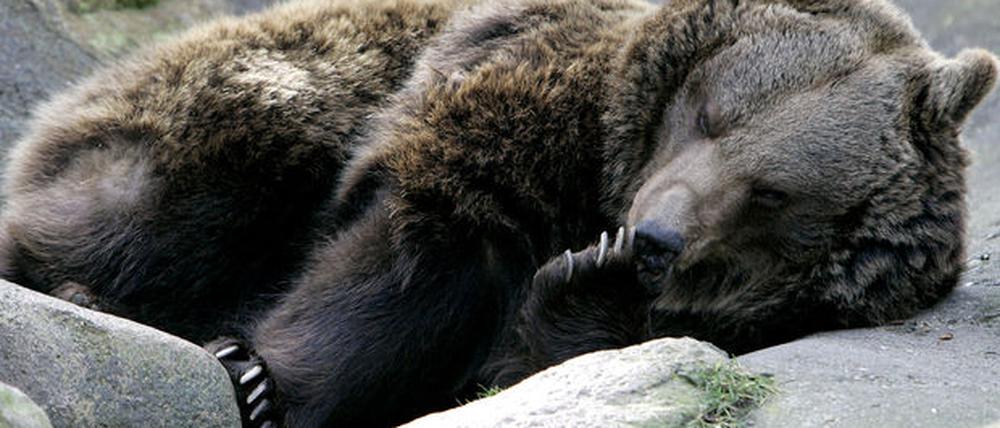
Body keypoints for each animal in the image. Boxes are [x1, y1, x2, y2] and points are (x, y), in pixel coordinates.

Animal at [1, 0, 997, 426]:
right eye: (713, 112)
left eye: (774, 194)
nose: (656, 238)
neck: (600, 171)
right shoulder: (507, 114)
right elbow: (408, 258)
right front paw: (255, 377)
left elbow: (521, 366)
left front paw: (590, 283)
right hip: (255, 97)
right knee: (153, 208)